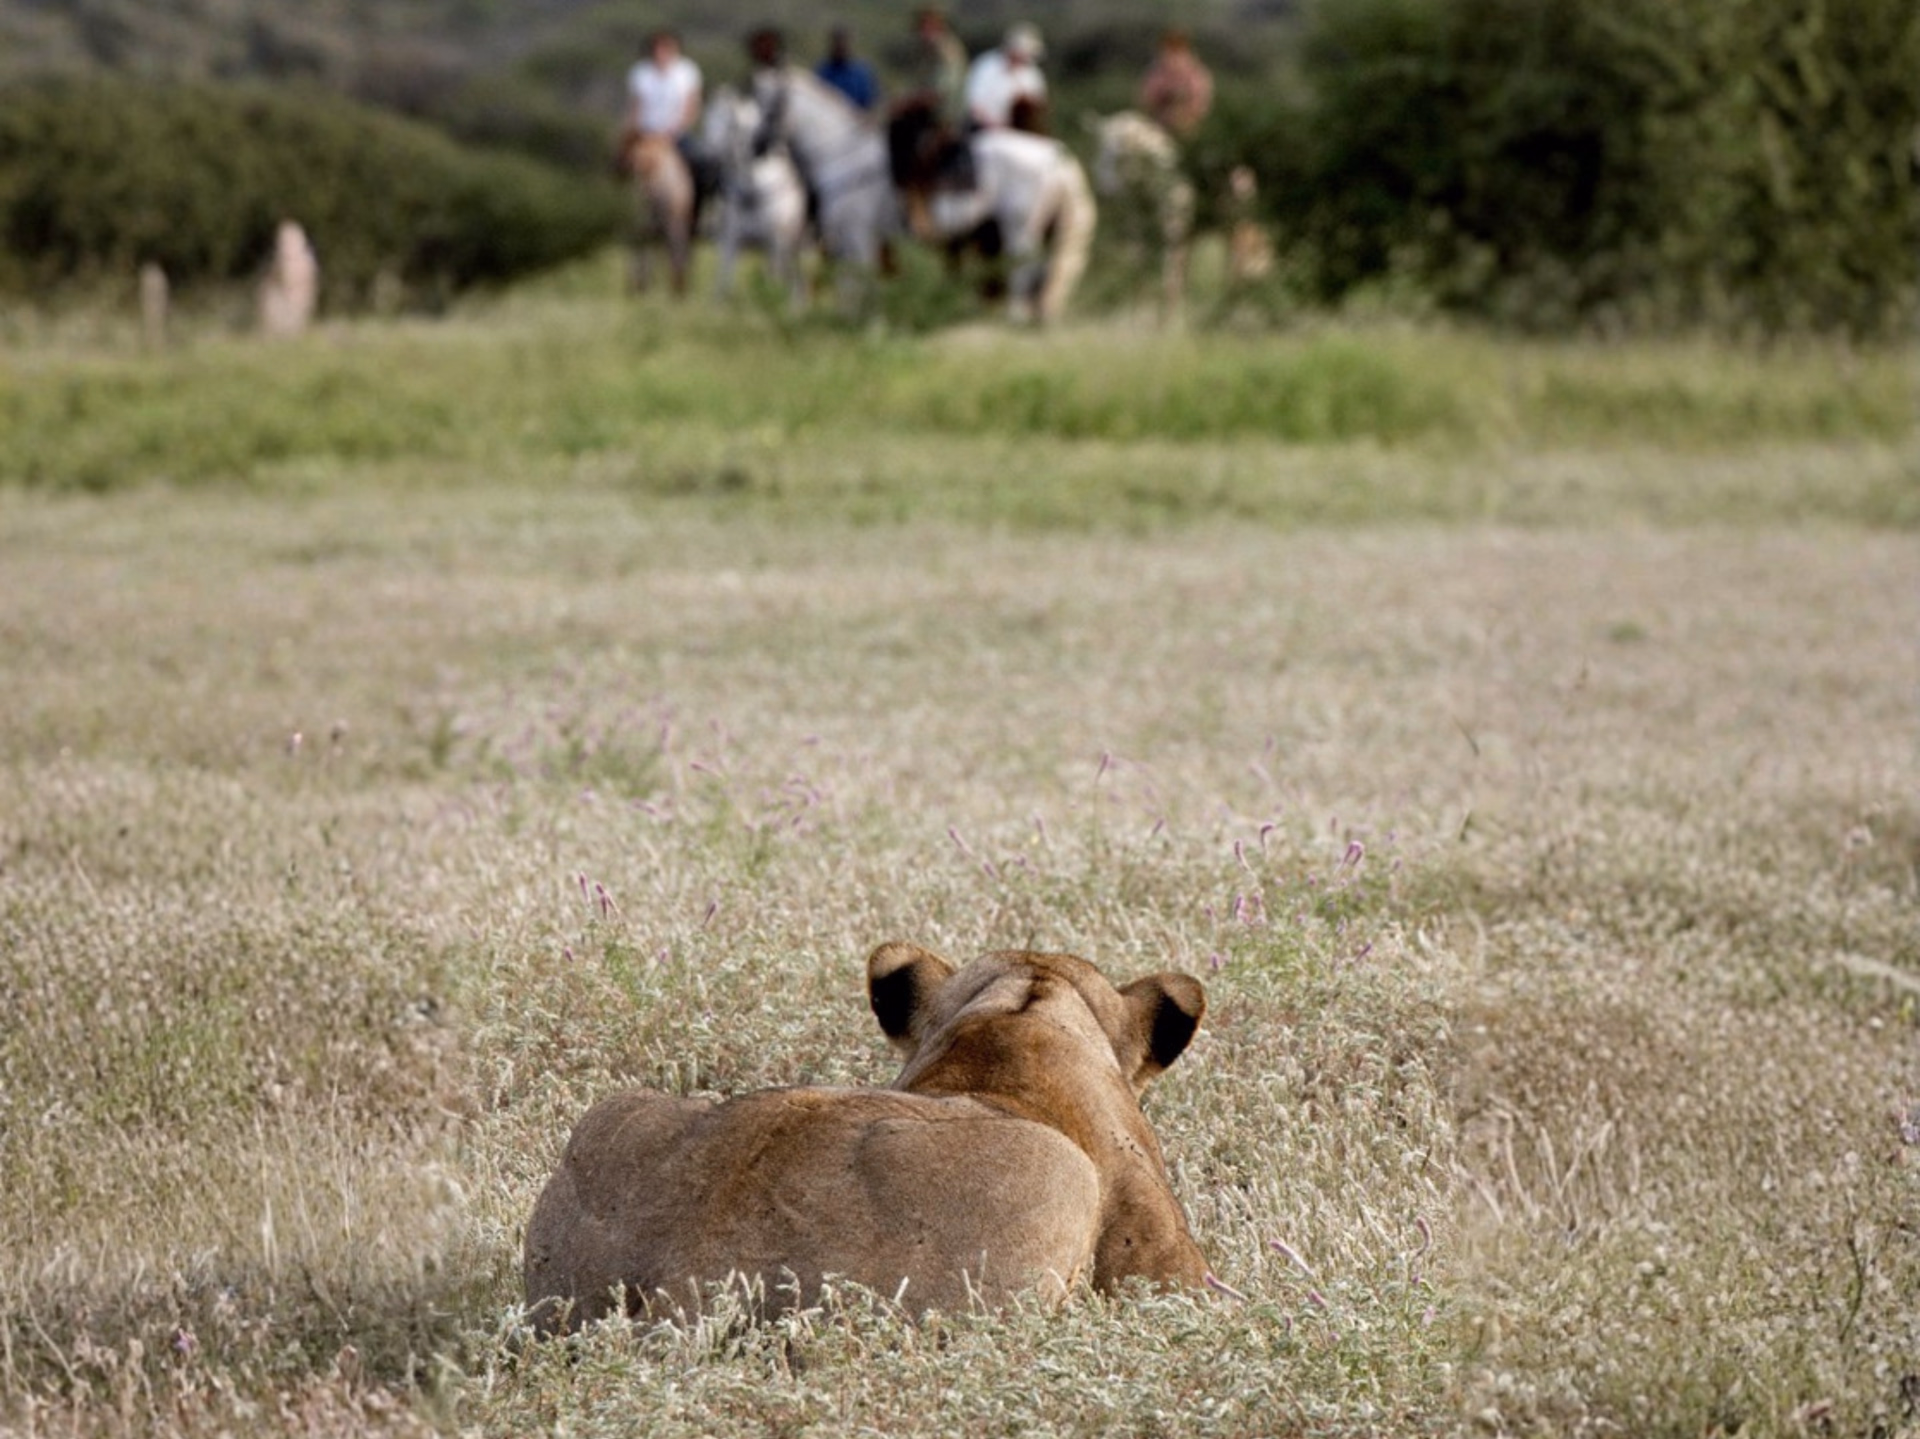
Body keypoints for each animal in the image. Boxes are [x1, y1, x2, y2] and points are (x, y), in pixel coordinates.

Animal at [617, 129, 696, 296]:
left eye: (624, 143)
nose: (615, 169)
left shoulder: (643, 215)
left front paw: (638, 284)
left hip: (657, 218)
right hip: (676, 221)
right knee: (678, 249)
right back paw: (677, 287)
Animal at [699, 86, 810, 305]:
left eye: (732, 126)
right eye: (706, 120)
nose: (707, 162)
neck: (754, 194)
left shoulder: (775, 246)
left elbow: (774, 282)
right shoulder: (729, 243)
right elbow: (723, 285)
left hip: (795, 246)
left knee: (796, 279)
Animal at [1089, 111, 1194, 320]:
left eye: (1121, 157)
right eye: (1099, 152)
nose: (1103, 192)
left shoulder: (1173, 226)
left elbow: (1169, 271)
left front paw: (1171, 320)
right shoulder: (1135, 222)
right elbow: (1139, 264)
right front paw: (1140, 316)